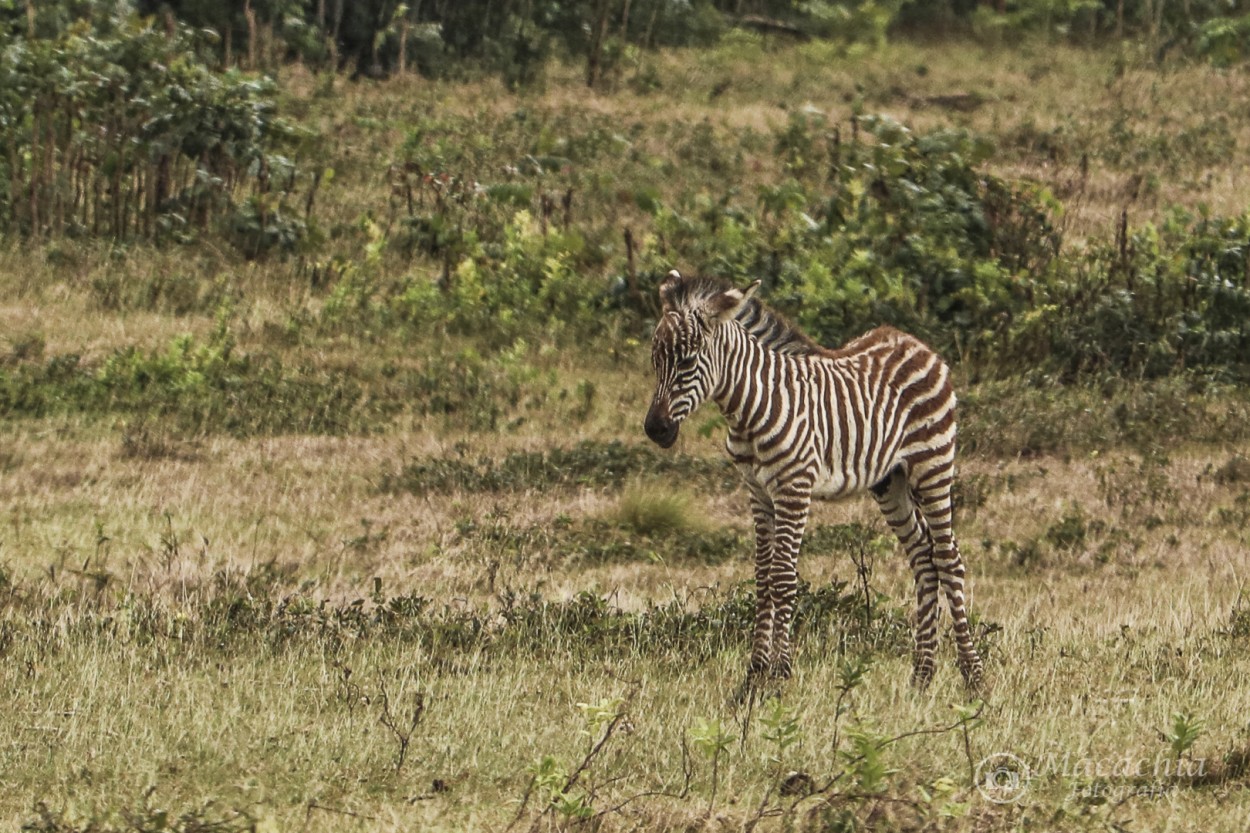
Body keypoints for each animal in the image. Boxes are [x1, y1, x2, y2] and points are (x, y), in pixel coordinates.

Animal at [645, 268, 985, 690]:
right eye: (655, 358)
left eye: (689, 361)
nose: (655, 429)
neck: (751, 407)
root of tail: (916, 343)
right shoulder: (758, 492)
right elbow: (762, 579)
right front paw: (752, 678)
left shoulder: (795, 487)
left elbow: (783, 580)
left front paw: (779, 676)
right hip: (890, 480)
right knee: (924, 557)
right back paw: (921, 676)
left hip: (933, 464)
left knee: (948, 559)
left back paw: (973, 676)